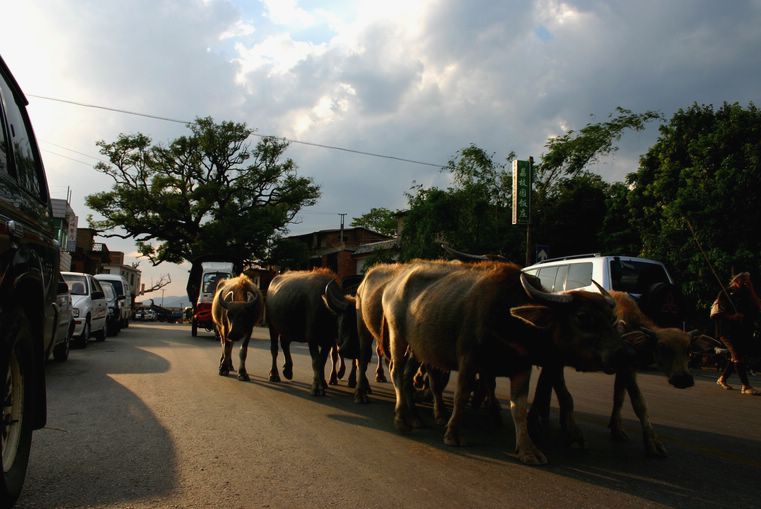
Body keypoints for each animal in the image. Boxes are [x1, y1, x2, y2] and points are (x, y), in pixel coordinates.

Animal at [380, 262, 624, 464]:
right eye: (582, 316)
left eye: (611, 318)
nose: (621, 354)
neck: (509, 319)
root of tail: (393, 285)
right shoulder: (469, 358)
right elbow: (461, 395)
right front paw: (453, 433)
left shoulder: (522, 366)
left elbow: (519, 407)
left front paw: (528, 450)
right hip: (397, 335)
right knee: (397, 371)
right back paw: (401, 419)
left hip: (416, 346)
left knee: (407, 376)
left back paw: (413, 416)